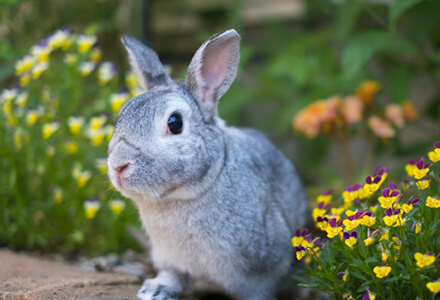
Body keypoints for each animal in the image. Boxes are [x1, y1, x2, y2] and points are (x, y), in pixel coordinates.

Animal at [107, 28, 312, 300]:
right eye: (122, 114)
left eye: (175, 123)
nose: (118, 165)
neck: (183, 196)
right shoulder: (170, 259)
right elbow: (173, 276)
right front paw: (154, 290)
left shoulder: (260, 273)